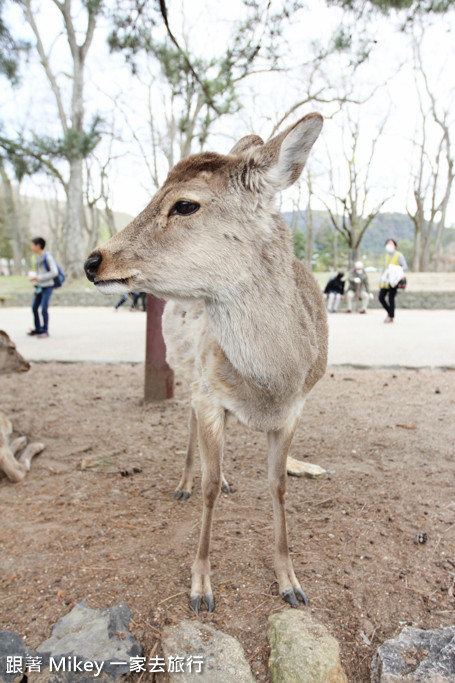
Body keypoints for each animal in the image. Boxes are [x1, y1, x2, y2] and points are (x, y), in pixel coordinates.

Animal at [84, 112, 328, 616]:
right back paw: (183, 482)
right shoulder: (210, 395)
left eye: (185, 205)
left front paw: (291, 583)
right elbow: (210, 486)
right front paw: (201, 587)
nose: (93, 260)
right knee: (191, 426)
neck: (274, 383)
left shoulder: (296, 409)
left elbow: (278, 484)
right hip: (188, 375)